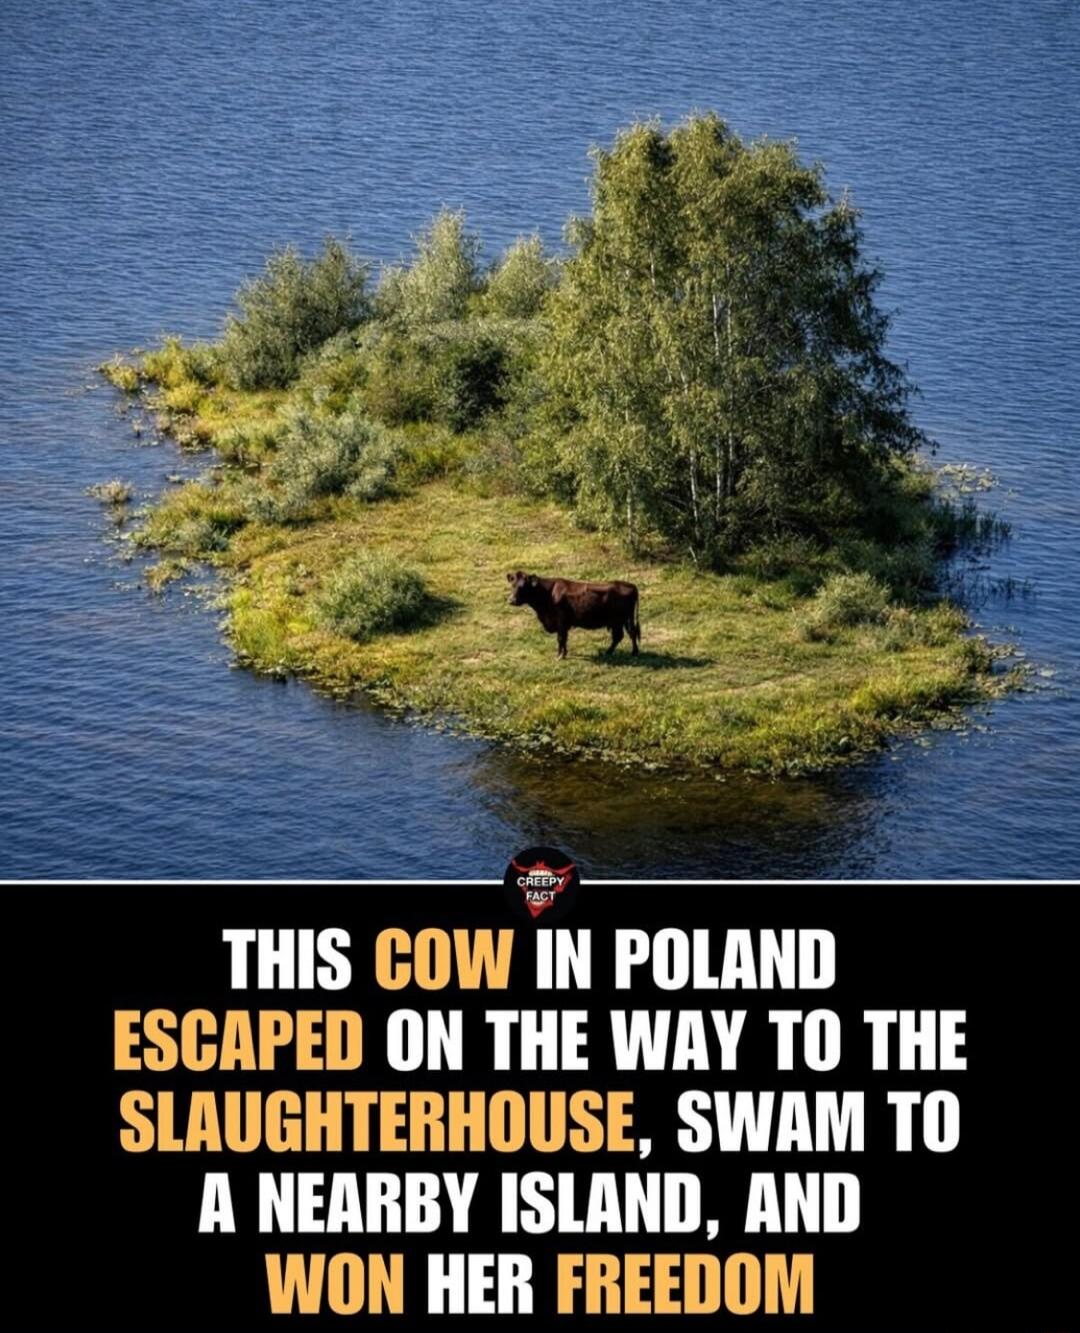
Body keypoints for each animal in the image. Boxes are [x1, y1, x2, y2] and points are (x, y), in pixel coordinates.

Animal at [506, 571, 641, 659]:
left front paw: (560, 656)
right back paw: (611, 652)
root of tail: (631, 586)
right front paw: (562, 653)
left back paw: (633, 653)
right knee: (624, 635)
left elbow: (561, 638)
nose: (512, 600)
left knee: (627, 634)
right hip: (622, 620)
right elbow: (563, 639)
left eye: (523, 586)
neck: (548, 593)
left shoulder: (561, 621)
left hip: (621, 620)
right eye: (513, 585)